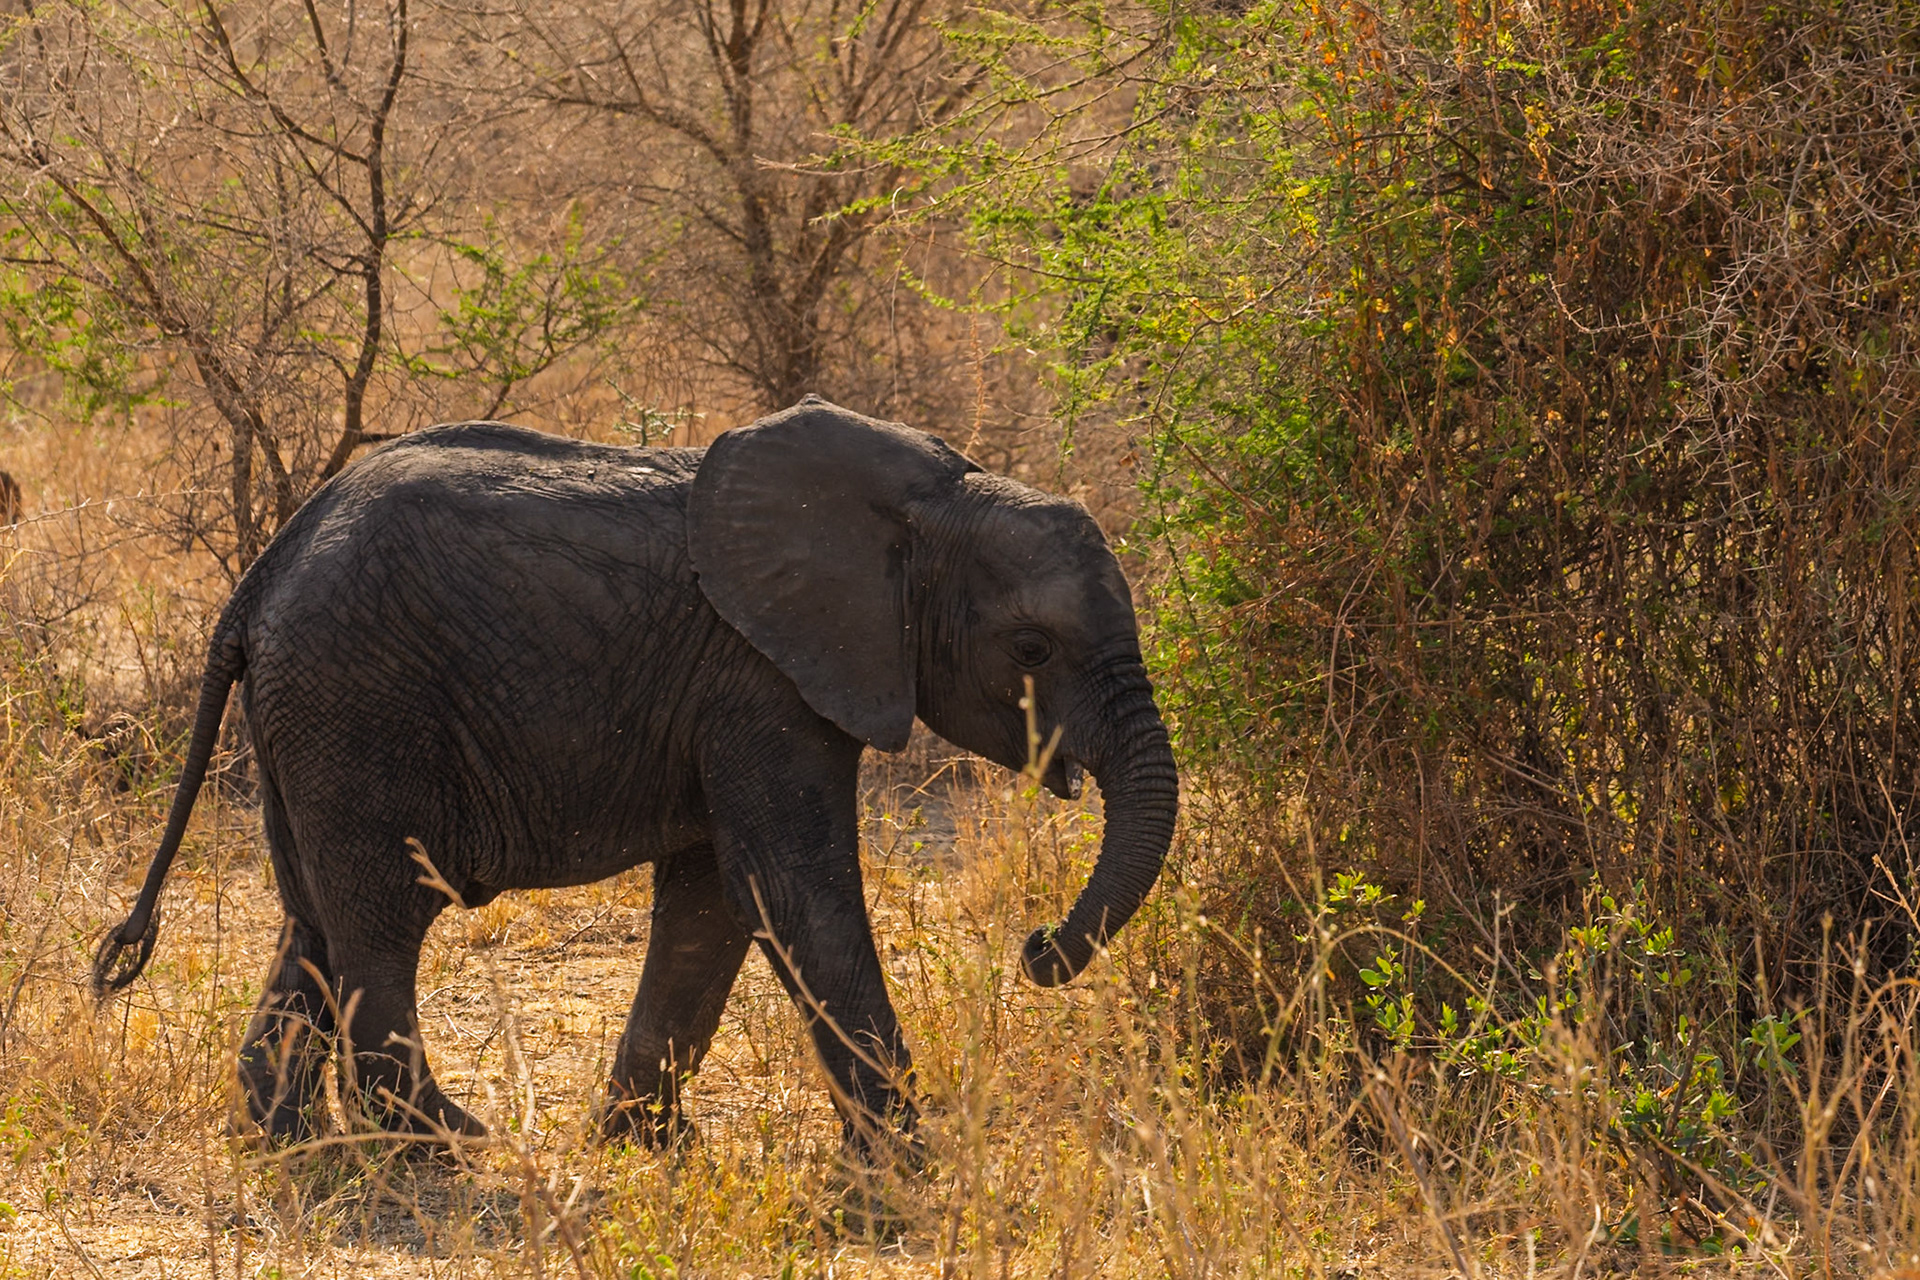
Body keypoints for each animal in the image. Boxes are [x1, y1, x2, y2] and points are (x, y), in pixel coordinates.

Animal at [92, 397, 1178, 1156]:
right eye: (1032, 648)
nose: (1035, 945)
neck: (930, 501)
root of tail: (258, 581)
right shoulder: (764, 676)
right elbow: (793, 893)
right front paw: (911, 1166)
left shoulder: (737, 692)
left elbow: (711, 904)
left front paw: (638, 1143)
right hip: (356, 700)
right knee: (380, 922)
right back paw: (441, 1143)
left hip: (308, 718)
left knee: (311, 917)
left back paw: (293, 1138)